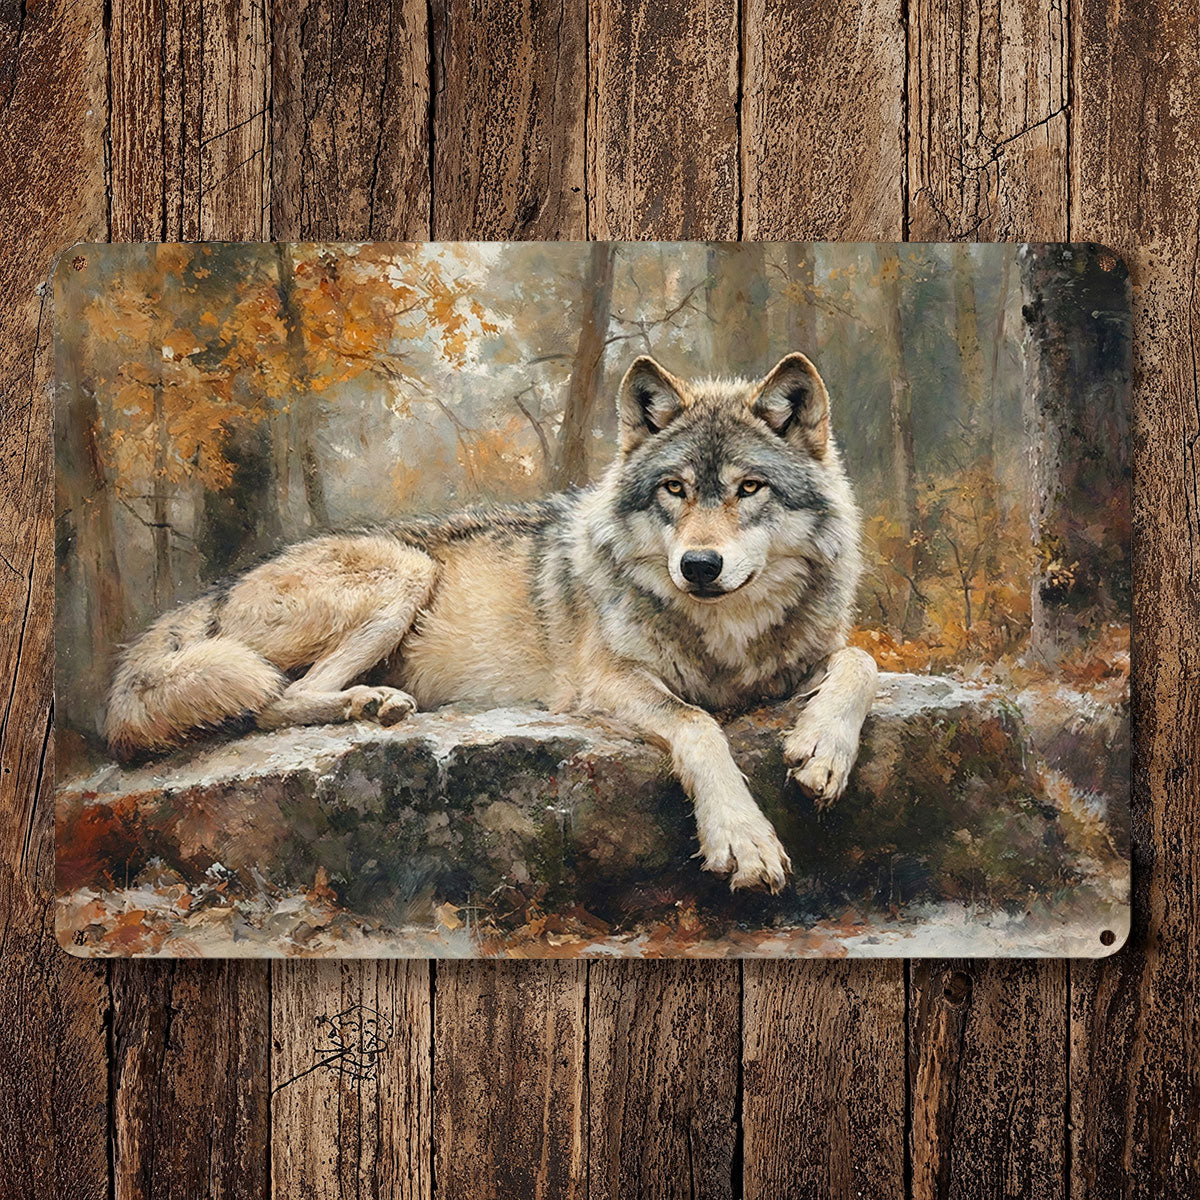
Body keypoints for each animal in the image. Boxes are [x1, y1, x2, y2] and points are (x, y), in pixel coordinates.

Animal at [105, 353, 878, 891]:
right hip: (404, 572)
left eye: (750, 488)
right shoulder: (603, 683)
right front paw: (743, 840)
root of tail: (217, 589)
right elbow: (696, 723)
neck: (724, 635)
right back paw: (371, 703)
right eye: (674, 489)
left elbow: (861, 660)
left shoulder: (797, 661)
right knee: (273, 699)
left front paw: (822, 751)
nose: (699, 565)